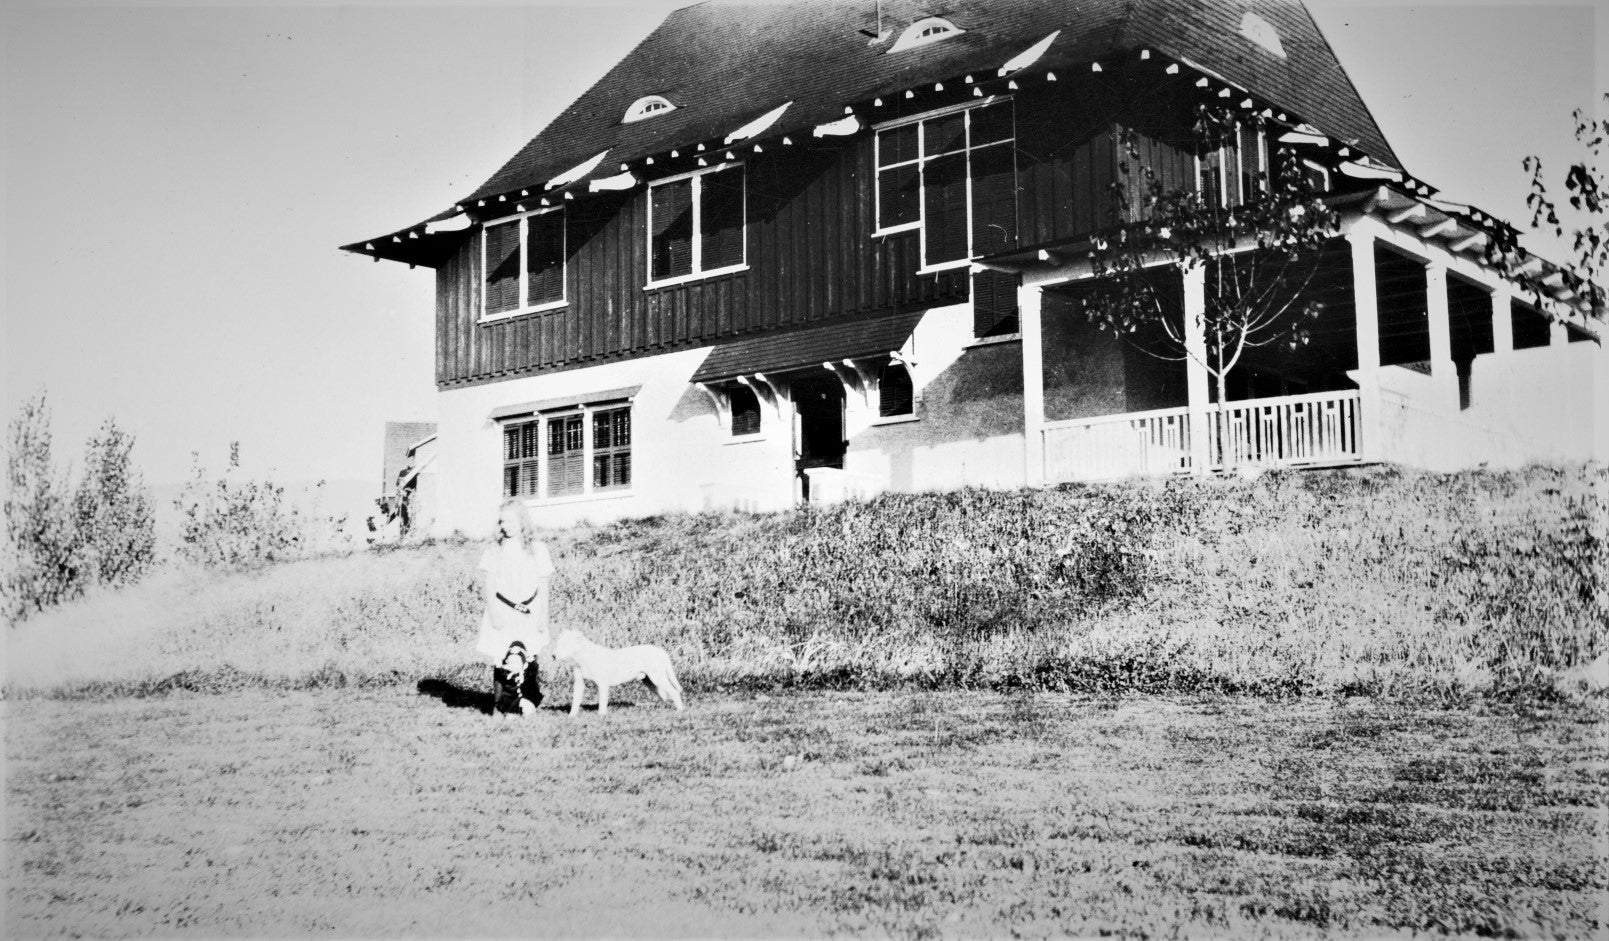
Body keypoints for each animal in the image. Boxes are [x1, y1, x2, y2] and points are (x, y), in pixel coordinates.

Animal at [550, 627, 682, 714]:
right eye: (558, 644)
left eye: (566, 644)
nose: (553, 656)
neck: (582, 658)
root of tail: (661, 651)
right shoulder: (579, 683)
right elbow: (575, 701)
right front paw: (572, 716)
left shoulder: (602, 683)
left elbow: (602, 701)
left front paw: (601, 715)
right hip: (649, 681)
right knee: (664, 695)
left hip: (657, 678)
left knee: (674, 692)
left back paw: (680, 710)